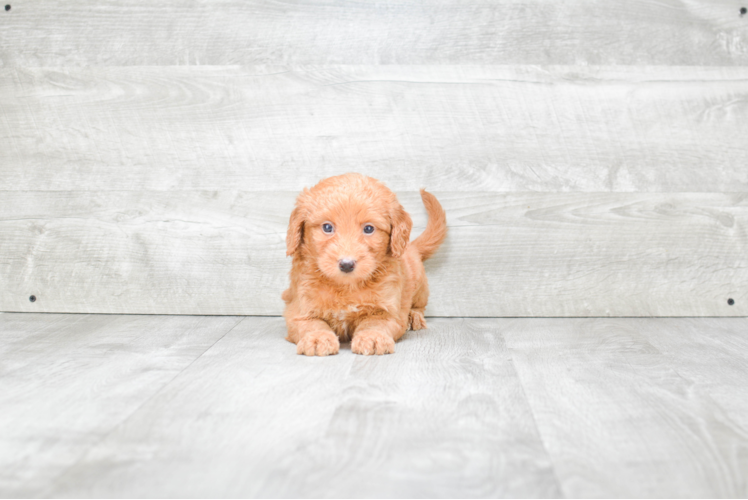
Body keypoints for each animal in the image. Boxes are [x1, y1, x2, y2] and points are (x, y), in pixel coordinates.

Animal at [280, 172, 444, 356]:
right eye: (327, 227)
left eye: (368, 229)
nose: (346, 264)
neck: (346, 287)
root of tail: (411, 246)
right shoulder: (298, 309)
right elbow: (312, 323)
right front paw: (317, 338)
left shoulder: (389, 311)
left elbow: (375, 323)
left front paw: (372, 337)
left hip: (420, 284)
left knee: (419, 305)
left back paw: (414, 316)